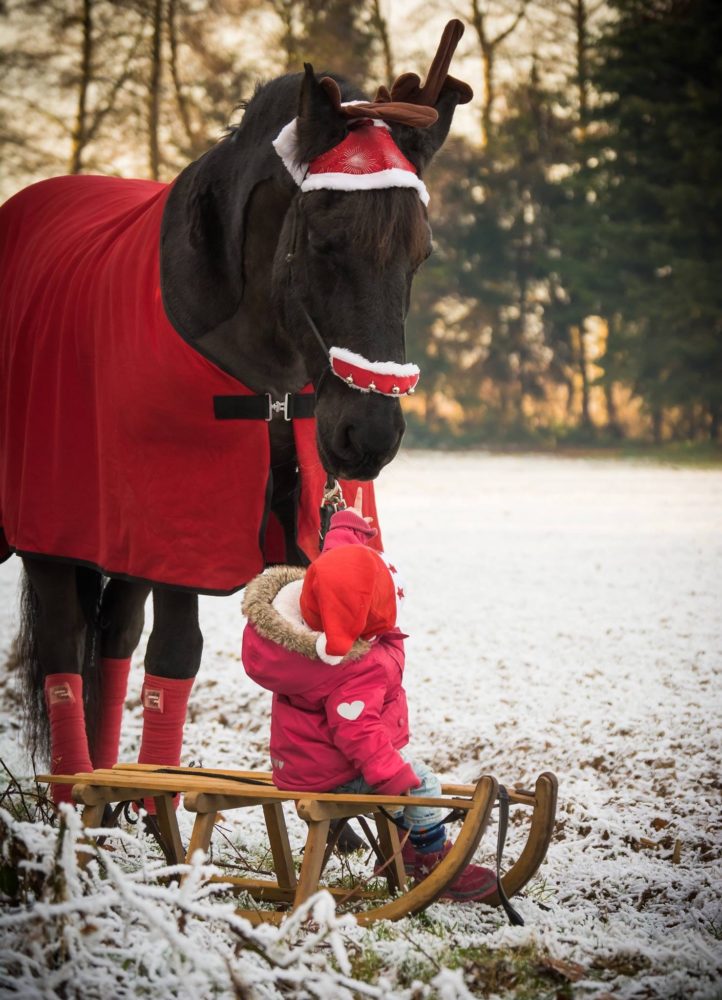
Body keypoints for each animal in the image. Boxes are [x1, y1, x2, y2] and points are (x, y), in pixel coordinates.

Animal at [0, 23, 470, 804]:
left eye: (420, 253)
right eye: (322, 241)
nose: (369, 435)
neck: (268, 379)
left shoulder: (159, 535)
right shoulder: (181, 533)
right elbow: (176, 655)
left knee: (111, 640)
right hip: (50, 532)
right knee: (66, 650)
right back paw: (73, 801)